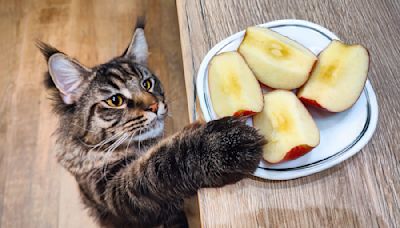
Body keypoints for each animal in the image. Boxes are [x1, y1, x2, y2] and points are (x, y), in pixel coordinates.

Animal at [38, 18, 266, 228]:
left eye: (147, 84)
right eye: (115, 100)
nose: (155, 106)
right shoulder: (112, 191)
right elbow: (161, 164)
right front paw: (223, 144)